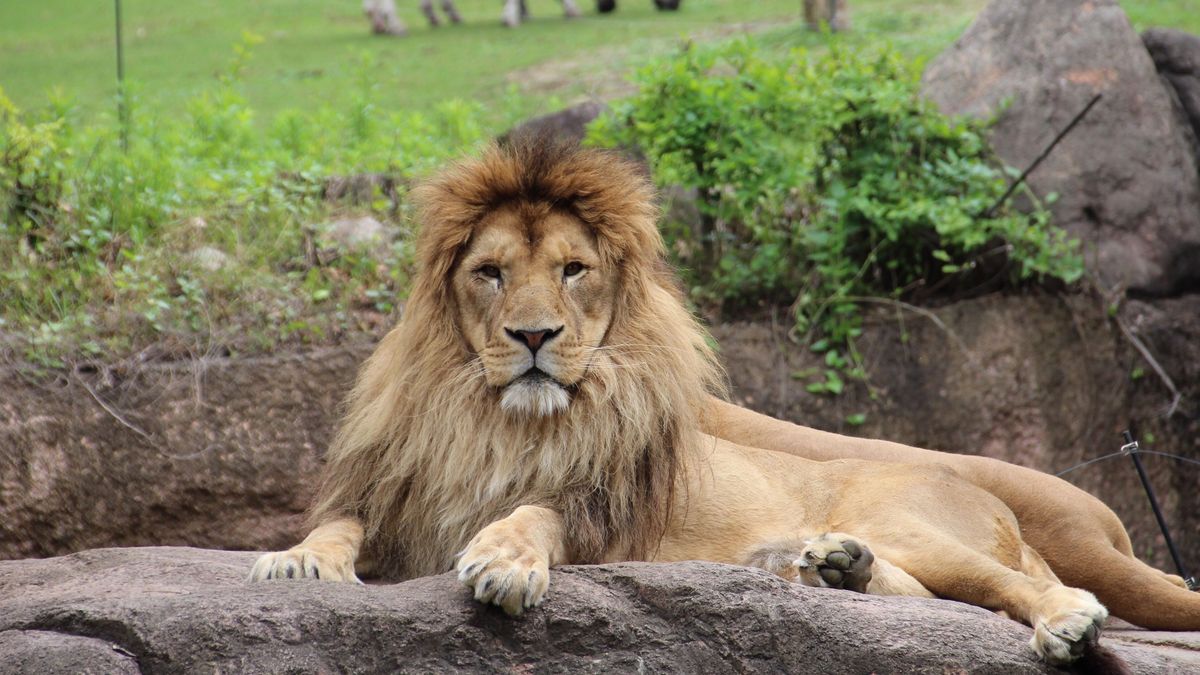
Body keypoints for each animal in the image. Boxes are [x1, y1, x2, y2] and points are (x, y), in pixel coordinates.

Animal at [248, 136, 1195, 662]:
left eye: (573, 269)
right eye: (489, 273)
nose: (533, 336)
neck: (493, 418)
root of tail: (992, 494)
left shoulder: (606, 512)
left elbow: (537, 510)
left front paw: (506, 558)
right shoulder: (400, 493)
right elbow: (341, 521)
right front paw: (298, 558)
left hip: (916, 517)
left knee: (1010, 586)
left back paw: (1064, 620)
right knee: (933, 596)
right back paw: (834, 566)